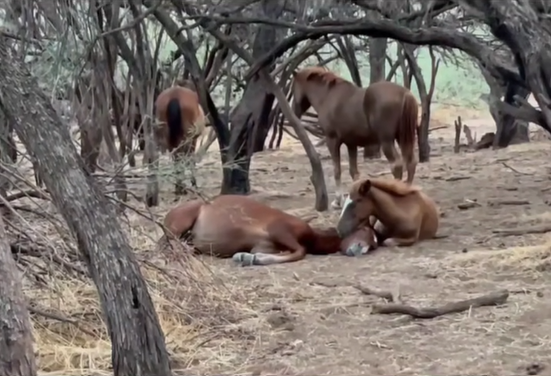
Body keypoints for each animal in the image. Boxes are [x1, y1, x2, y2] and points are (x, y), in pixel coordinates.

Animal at [294, 66, 418, 210]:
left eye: (293, 87)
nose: (295, 111)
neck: (328, 96)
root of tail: (405, 93)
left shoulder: (332, 140)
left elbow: (337, 170)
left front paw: (338, 201)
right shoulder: (351, 143)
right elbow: (354, 172)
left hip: (386, 141)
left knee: (397, 166)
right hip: (403, 138)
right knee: (411, 163)